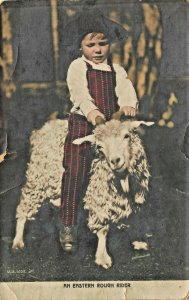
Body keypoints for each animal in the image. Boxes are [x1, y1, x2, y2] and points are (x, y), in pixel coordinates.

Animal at [12, 113, 154, 270]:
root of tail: (40, 132)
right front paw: (103, 258)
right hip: (38, 180)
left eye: (127, 136)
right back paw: (18, 241)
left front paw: (138, 241)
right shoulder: (100, 200)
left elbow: (135, 218)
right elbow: (103, 230)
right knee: (24, 207)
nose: (115, 161)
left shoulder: (134, 196)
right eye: (99, 146)